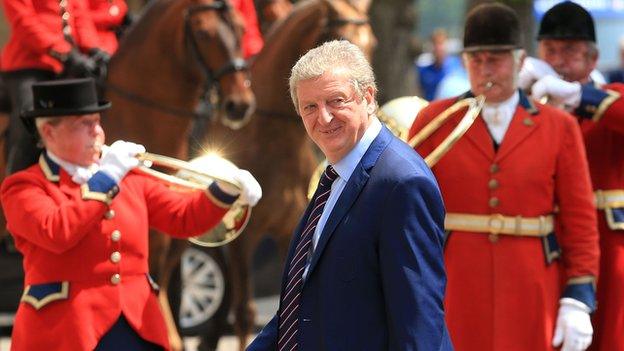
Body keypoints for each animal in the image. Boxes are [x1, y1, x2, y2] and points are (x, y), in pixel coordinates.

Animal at [199, 0, 376, 348]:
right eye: (340, 38)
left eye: (372, 43)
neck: (272, 140)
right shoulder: (243, 238)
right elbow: (246, 313)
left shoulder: (288, 231)